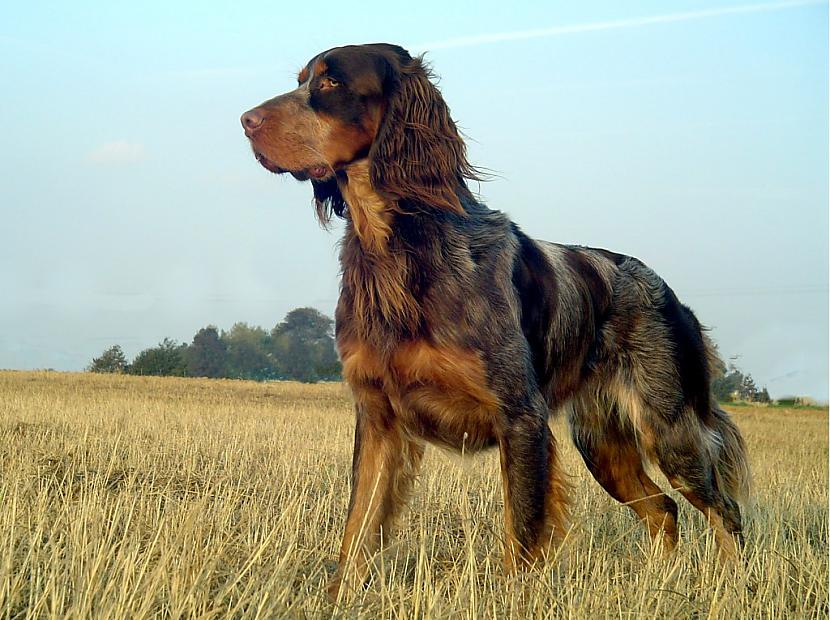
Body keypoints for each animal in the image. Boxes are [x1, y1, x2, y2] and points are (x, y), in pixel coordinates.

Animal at [240, 42, 752, 596]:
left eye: (331, 82)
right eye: (301, 79)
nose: (245, 121)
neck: (397, 246)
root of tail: (672, 295)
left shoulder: (521, 418)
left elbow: (521, 536)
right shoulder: (378, 417)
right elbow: (356, 529)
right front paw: (338, 599)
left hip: (670, 428)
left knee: (724, 512)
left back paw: (734, 589)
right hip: (602, 442)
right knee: (663, 509)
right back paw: (658, 587)